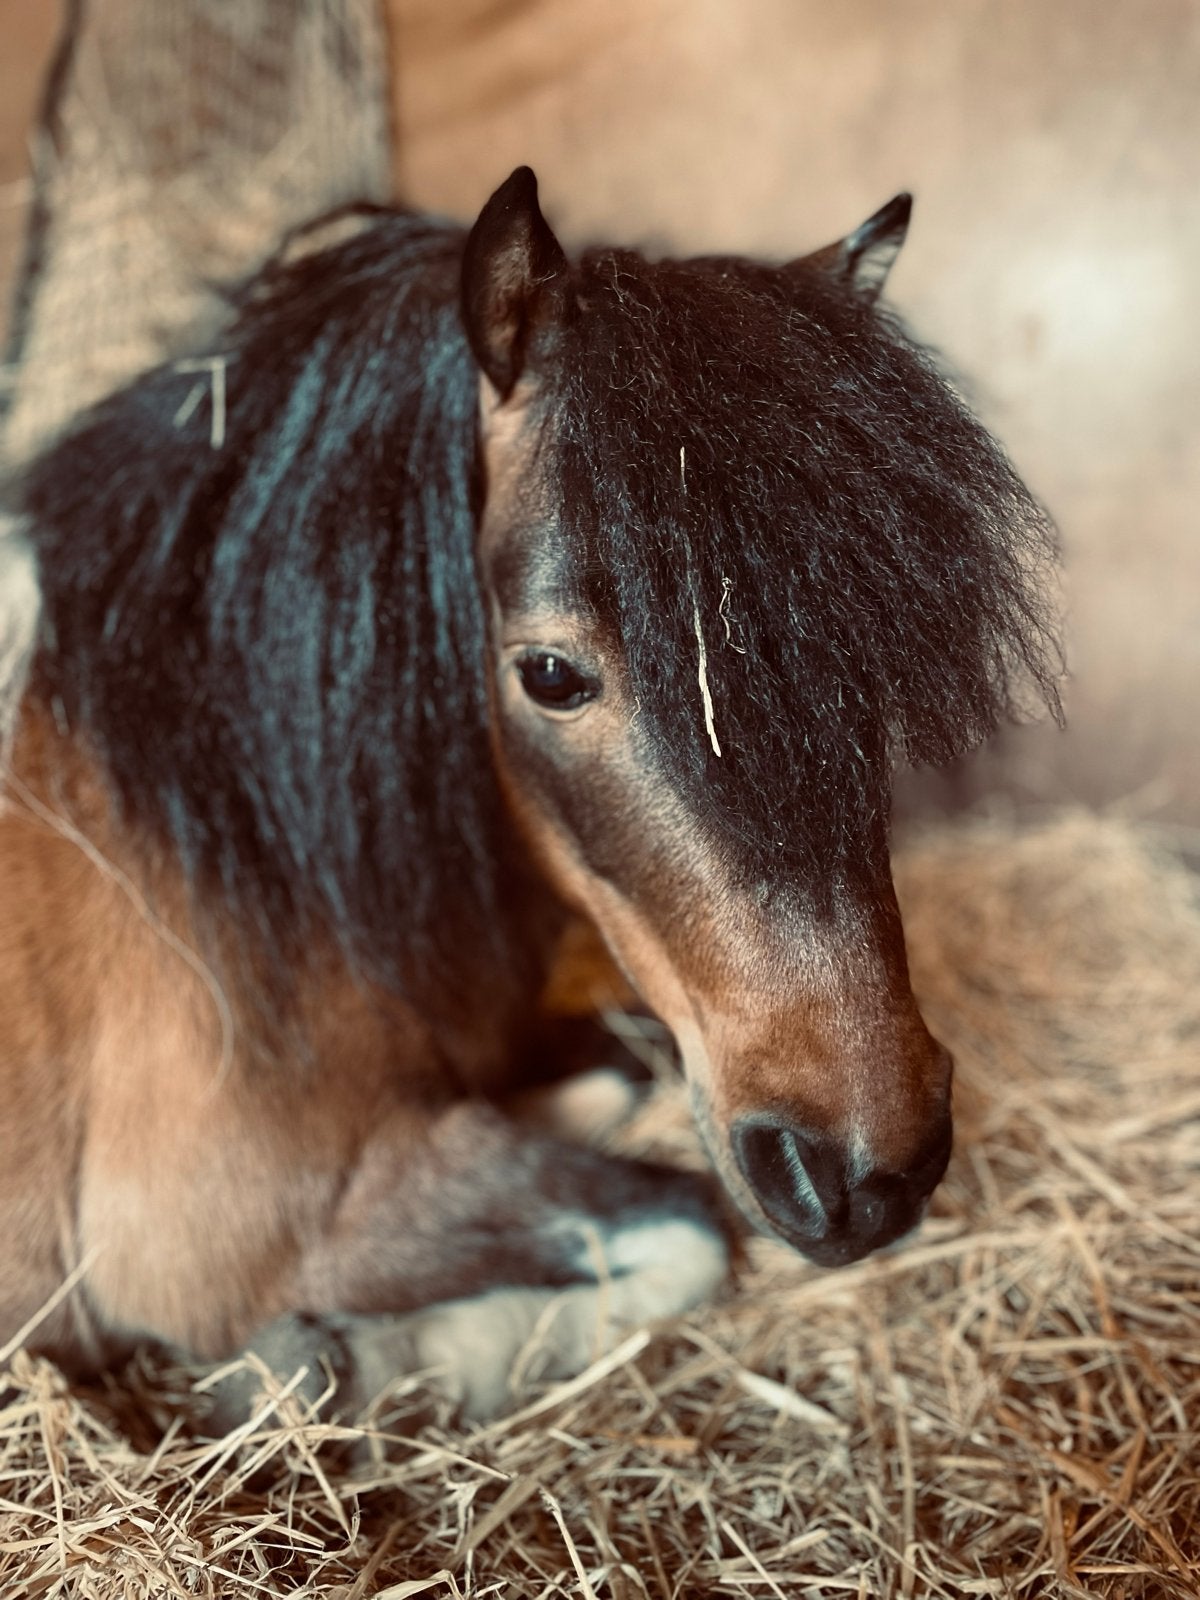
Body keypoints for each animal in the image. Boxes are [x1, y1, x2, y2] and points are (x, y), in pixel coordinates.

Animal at [0, 167, 1060, 1421]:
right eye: (550, 674)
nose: (868, 1173)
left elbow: (613, 1083)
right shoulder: (233, 1231)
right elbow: (686, 1232)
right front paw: (330, 1366)